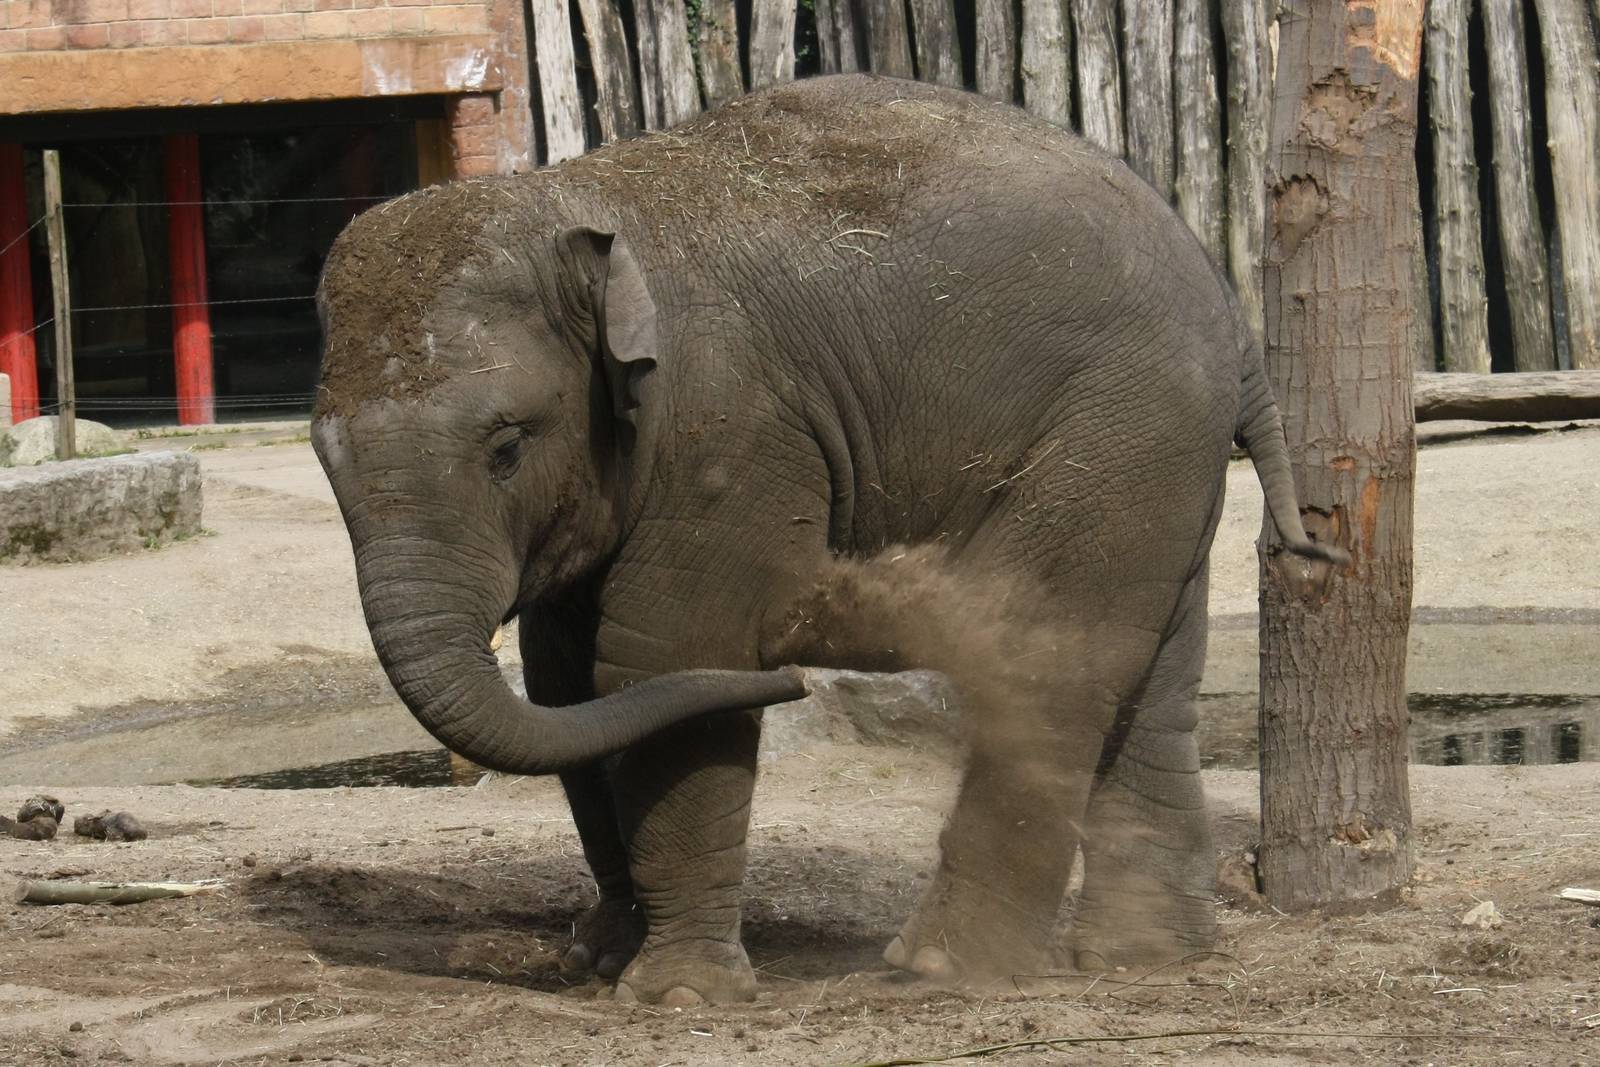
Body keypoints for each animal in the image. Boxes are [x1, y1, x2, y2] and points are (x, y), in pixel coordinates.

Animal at [311, 74, 1344, 1005]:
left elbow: (661, 661)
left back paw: (941, 967)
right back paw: (1142, 957)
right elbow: (569, 681)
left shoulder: (731, 435)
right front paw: (600, 959)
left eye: (505, 446)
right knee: (1149, 673)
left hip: (1118, 427)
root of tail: (1228, 306)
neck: (582, 199)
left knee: (1047, 660)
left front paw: (676, 995)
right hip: (1160, 461)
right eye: (324, 455)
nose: (799, 667)